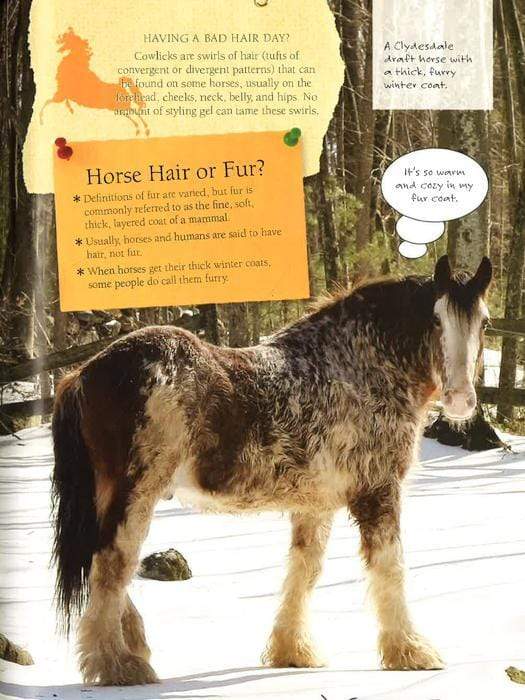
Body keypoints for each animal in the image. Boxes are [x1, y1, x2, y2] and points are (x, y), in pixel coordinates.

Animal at [51, 255, 492, 685]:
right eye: (436, 319)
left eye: (484, 321)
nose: (460, 400)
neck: (356, 367)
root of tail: (83, 374)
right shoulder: (379, 493)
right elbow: (390, 567)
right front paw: (411, 652)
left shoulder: (315, 506)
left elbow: (305, 571)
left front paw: (292, 651)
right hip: (136, 492)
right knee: (111, 565)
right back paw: (117, 666)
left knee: (103, 564)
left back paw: (133, 648)